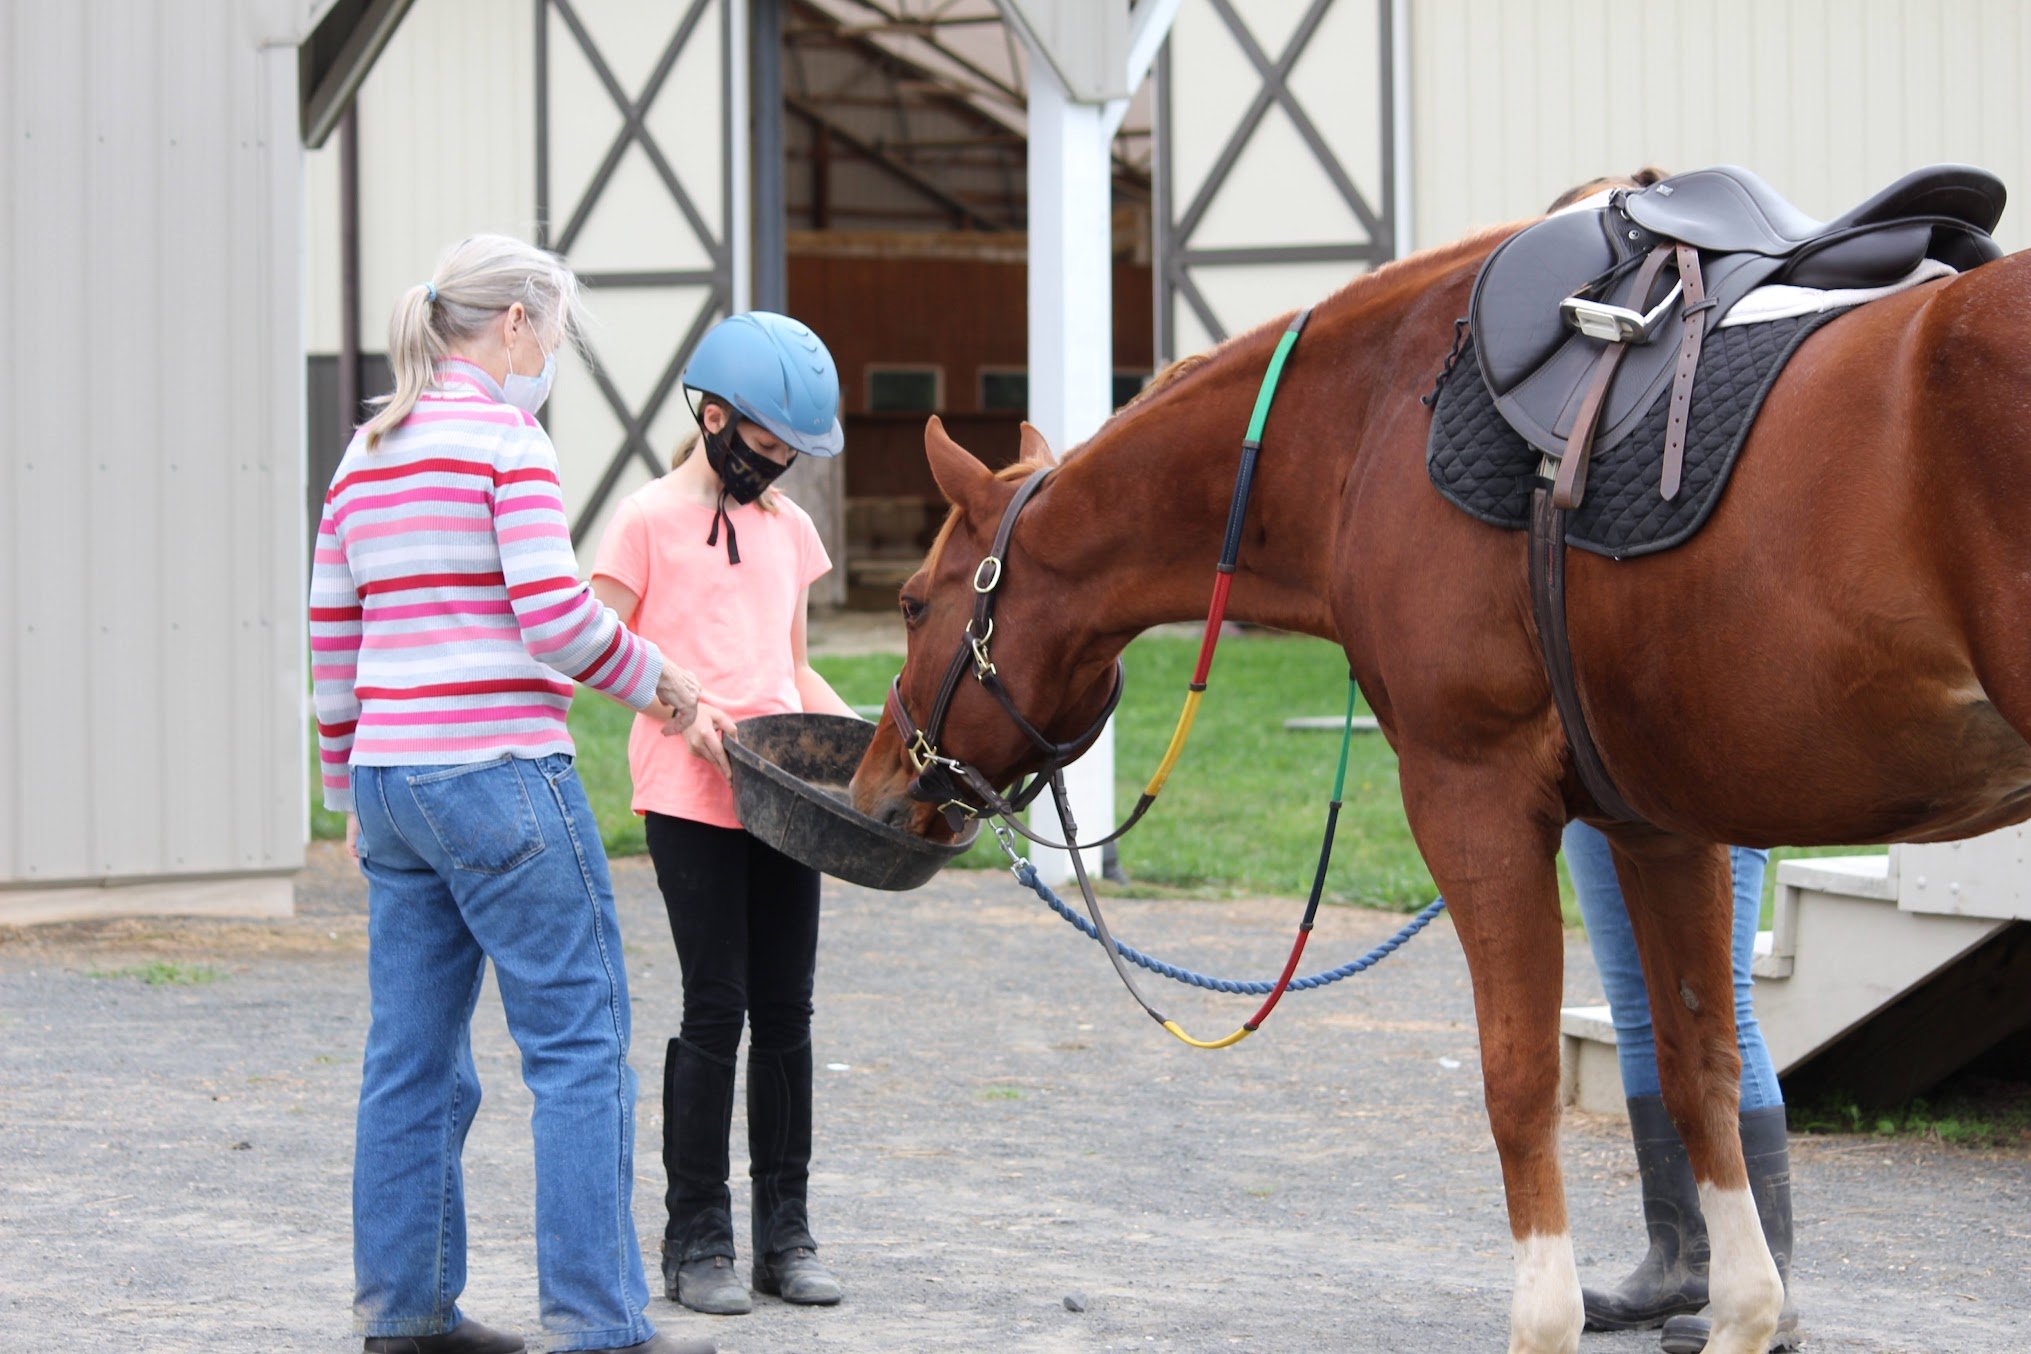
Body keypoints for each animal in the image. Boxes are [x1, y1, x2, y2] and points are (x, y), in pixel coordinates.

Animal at [844, 233, 2030, 1354]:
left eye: (911, 602)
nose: (876, 787)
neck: (1370, 423)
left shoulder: (1471, 797)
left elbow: (1518, 1076)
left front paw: (1542, 1319)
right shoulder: (1659, 828)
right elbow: (1702, 1073)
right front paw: (1741, 1307)